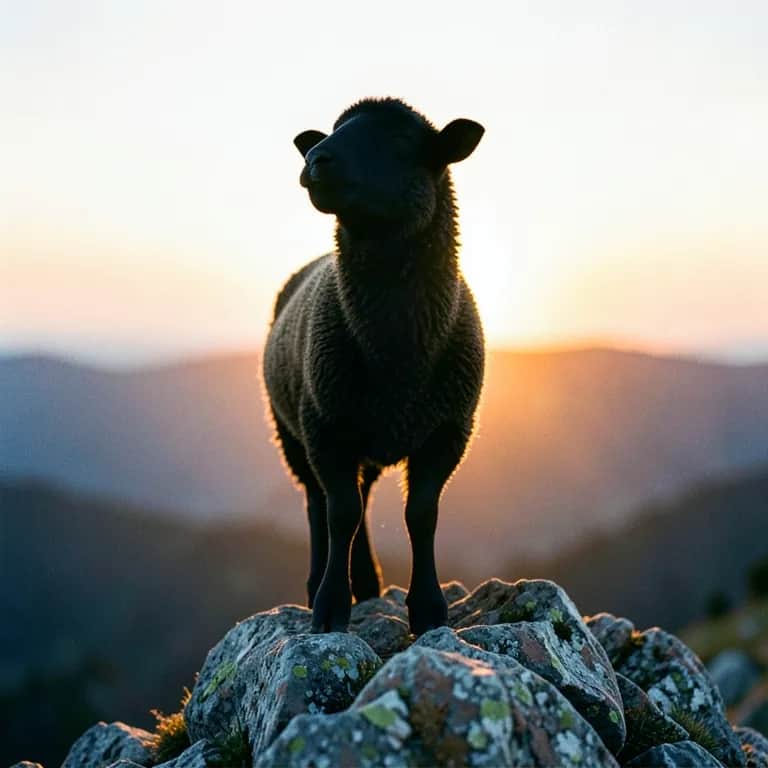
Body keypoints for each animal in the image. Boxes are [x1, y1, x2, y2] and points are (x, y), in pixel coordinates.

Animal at [263, 97, 485, 634]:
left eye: (403, 140)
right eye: (335, 129)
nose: (316, 159)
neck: (397, 354)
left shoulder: (448, 431)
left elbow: (421, 515)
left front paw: (428, 608)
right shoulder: (325, 427)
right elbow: (340, 514)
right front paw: (329, 608)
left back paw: (365, 582)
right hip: (293, 433)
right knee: (318, 503)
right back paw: (324, 582)